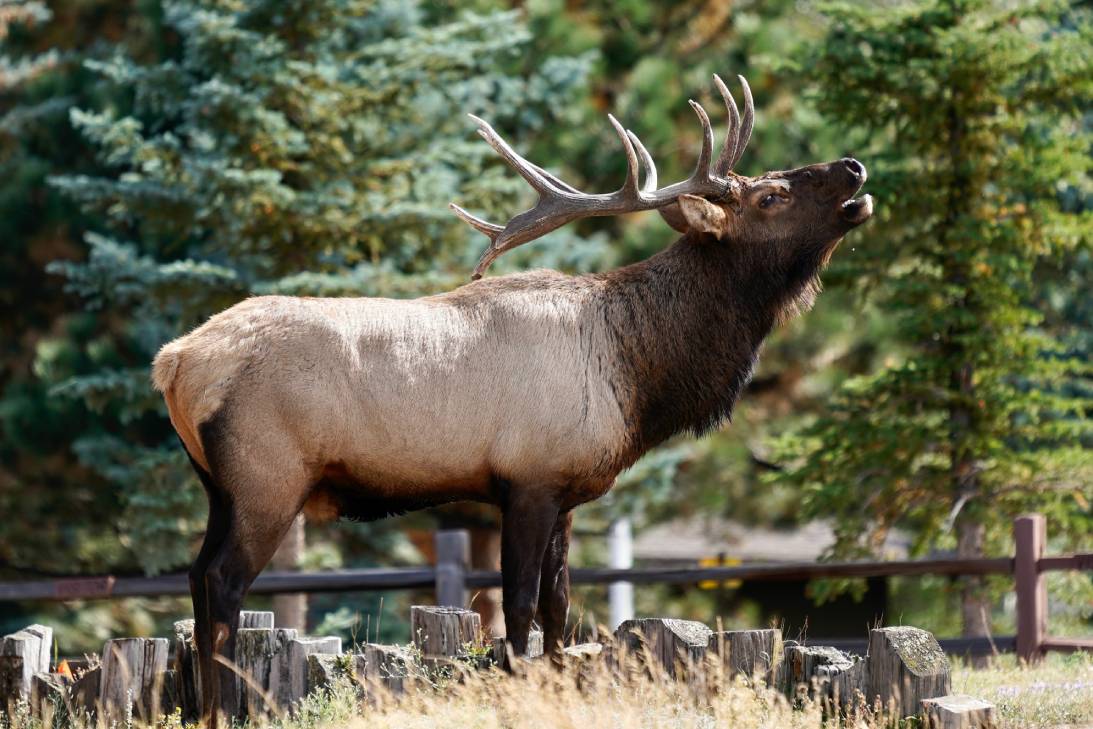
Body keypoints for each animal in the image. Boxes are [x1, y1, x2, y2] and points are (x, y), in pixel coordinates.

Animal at [154, 75, 870, 725]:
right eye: (772, 195)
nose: (853, 167)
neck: (637, 374)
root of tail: (174, 362)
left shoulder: (567, 491)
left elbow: (559, 606)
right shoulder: (527, 480)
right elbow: (518, 606)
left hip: (219, 486)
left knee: (193, 575)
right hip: (268, 478)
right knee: (222, 582)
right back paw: (222, 713)